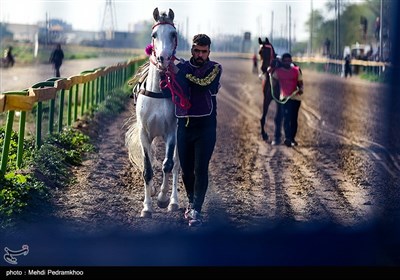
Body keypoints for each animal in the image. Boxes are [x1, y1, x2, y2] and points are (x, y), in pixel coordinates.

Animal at [126, 6, 184, 217]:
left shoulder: (172, 133)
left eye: (173, 34)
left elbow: (168, 165)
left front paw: (162, 199)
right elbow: (148, 168)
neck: (158, 91)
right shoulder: (144, 133)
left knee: (175, 165)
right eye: (154, 35)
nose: (162, 58)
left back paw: (173, 201)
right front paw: (147, 206)